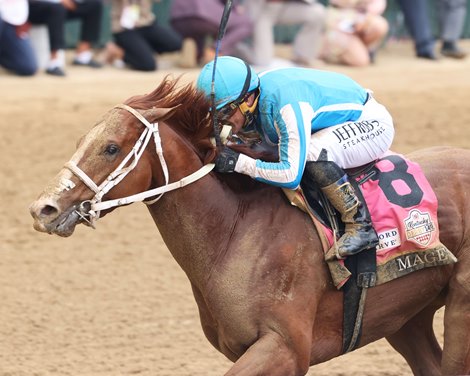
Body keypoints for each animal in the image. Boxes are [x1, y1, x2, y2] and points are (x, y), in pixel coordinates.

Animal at [29, 78, 470, 374]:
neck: (235, 232)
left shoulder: (285, 348)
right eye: (81, 140)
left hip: (459, 308)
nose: (43, 208)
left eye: (111, 147)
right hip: (407, 317)